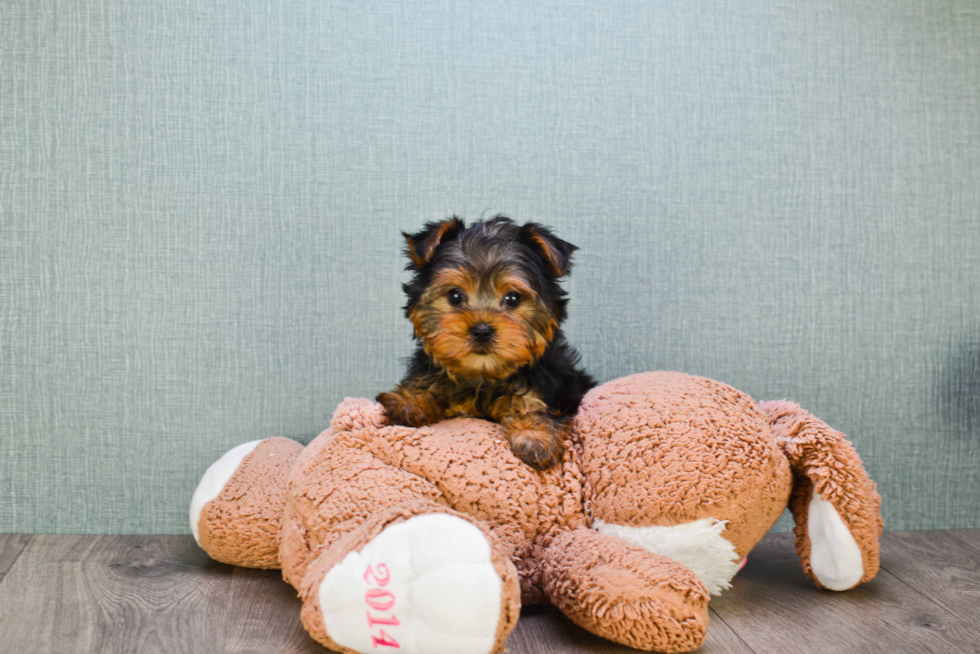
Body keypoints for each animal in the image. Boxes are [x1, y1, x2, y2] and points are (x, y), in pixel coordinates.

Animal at [376, 217, 592, 472]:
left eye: (513, 298)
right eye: (455, 296)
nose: (481, 330)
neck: (483, 375)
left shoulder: (558, 389)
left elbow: (537, 407)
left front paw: (534, 435)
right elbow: (429, 386)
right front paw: (410, 402)